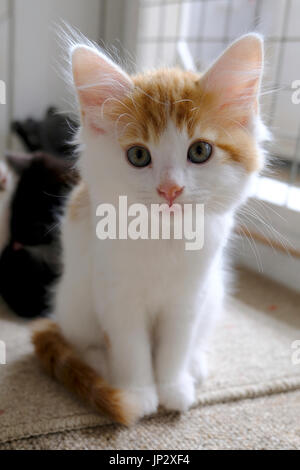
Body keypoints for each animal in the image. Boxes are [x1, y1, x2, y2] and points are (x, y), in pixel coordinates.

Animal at [33, 33, 268, 422]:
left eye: (200, 151)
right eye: (138, 156)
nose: (170, 190)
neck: (163, 238)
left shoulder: (190, 296)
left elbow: (175, 346)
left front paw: (173, 387)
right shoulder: (116, 294)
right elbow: (131, 347)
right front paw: (139, 393)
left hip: (214, 295)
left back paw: (195, 365)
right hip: (74, 301)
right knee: (83, 343)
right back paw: (101, 364)